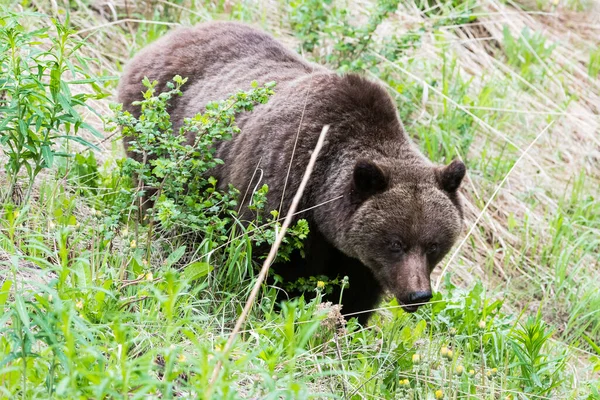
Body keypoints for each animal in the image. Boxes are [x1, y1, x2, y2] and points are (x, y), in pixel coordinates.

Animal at [117, 20, 464, 324]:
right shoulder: (282, 187)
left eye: (434, 245)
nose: (418, 295)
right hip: (158, 141)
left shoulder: (357, 257)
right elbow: (266, 263)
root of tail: (165, 38)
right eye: (395, 243)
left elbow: (356, 293)